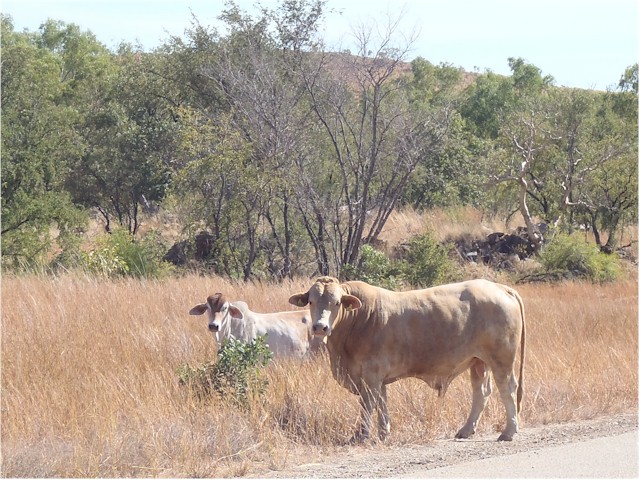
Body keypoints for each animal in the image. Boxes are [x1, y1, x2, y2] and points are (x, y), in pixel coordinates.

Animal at [289, 277, 525, 442]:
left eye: (337, 302)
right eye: (311, 301)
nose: (320, 327)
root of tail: (500, 288)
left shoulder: (370, 375)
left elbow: (368, 404)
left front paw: (361, 435)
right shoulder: (377, 378)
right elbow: (382, 403)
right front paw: (383, 433)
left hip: (501, 359)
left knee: (508, 389)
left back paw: (509, 431)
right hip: (478, 361)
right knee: (481, 393)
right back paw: (466, 430)